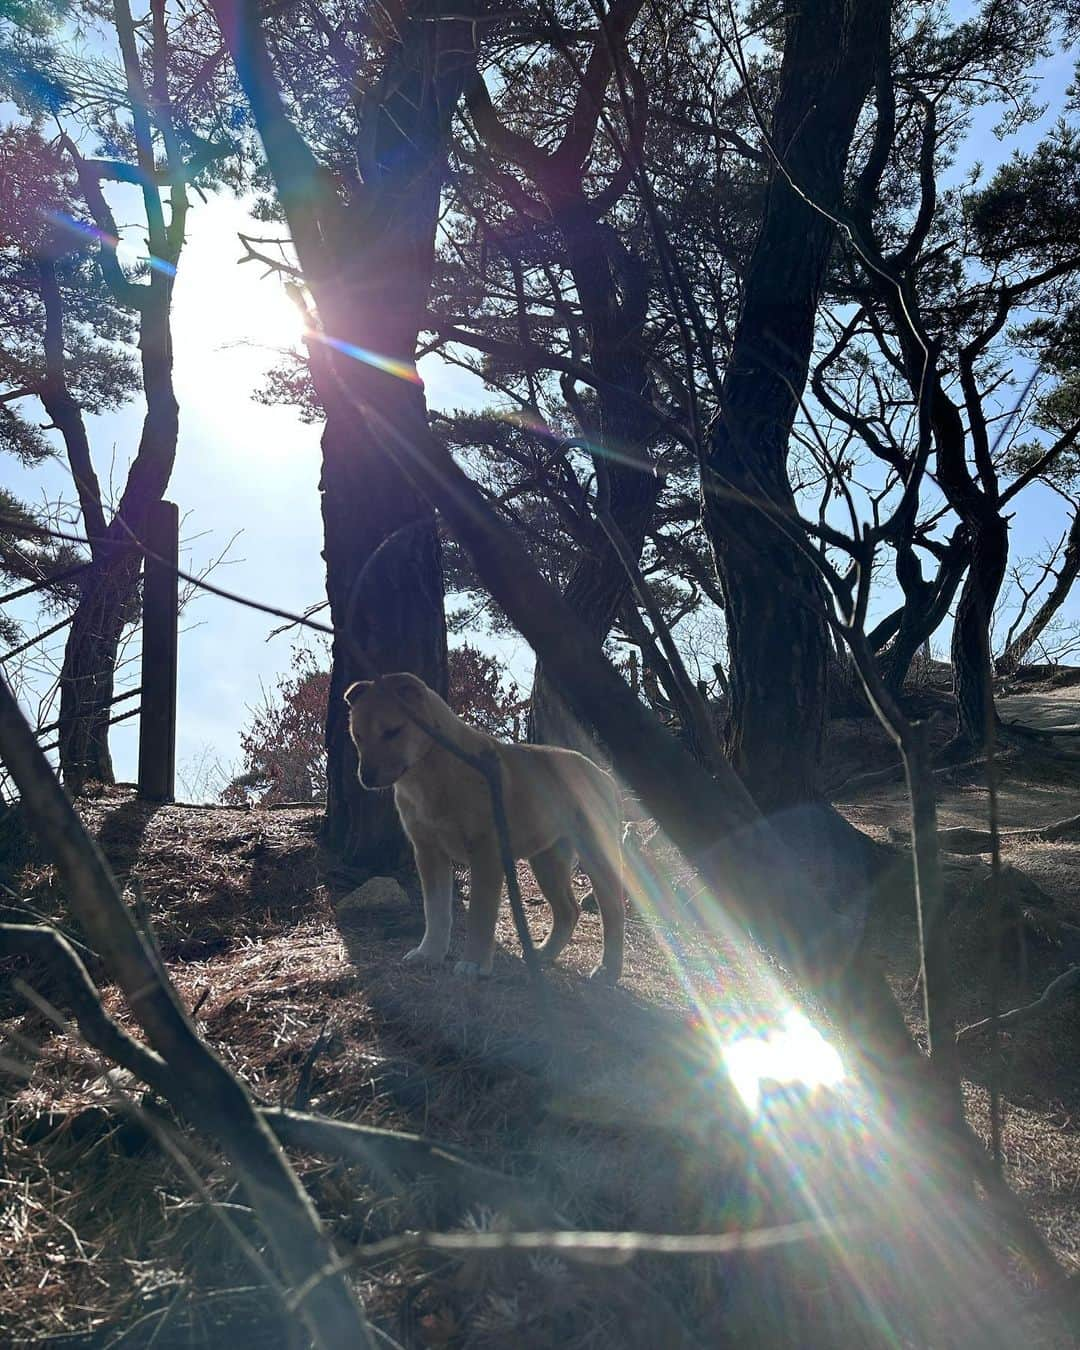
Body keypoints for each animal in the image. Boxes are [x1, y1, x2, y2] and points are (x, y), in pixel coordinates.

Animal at [345, 675, 623, 982]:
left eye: (392, 731)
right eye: (357, 735)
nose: (366, 777)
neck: (434, 771)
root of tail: (603, 775)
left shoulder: (485, 852)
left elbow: (480, 911)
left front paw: (474, 964)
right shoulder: (428, 852)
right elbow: (436, 910)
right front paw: (429, 953)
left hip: (596, 854)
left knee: (613, 909)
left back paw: (608, 969)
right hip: (546, 859)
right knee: (568, 910)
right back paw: (543, 954)